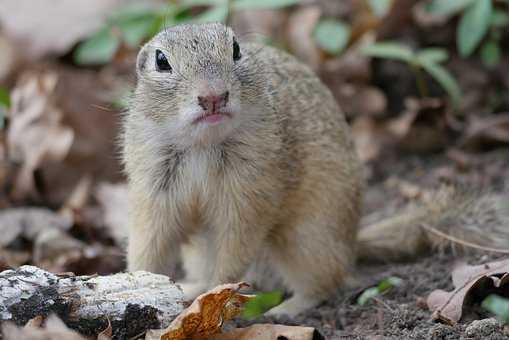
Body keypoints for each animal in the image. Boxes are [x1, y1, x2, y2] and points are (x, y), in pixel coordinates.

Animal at [122, 23, 508, 316]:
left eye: (235, 49)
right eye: (161, 61)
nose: (213, 96)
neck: (203, 145)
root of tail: (352, 241)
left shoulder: (249, 197)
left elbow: (235, 248)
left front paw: (219, 294)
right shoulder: (153, 192)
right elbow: (148, 244)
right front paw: (138, 284)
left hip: (305, 239)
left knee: (324, 283)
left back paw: (285, 309)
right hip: (205, 251)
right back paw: (192, 288)